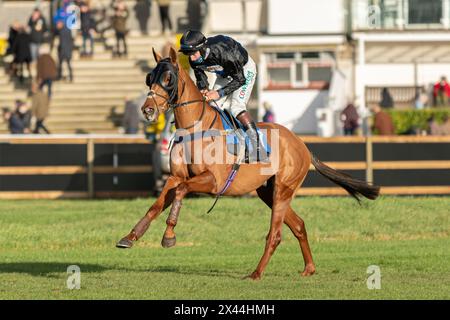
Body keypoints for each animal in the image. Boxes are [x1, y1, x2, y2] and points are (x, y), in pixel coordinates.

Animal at [117, 47, 380, 280]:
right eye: (149, 77)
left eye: (168, 78)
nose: (147, 110)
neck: (195, 129)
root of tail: (302, 144)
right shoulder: (175, 176)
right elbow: (156, 205)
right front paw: (131, 236)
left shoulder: (212, 181)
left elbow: (181, 192)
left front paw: (169, 235)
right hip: (267, 191)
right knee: (298, 225)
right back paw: (309, 268)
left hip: (283, 189)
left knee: (275, 234)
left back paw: (256, 273)